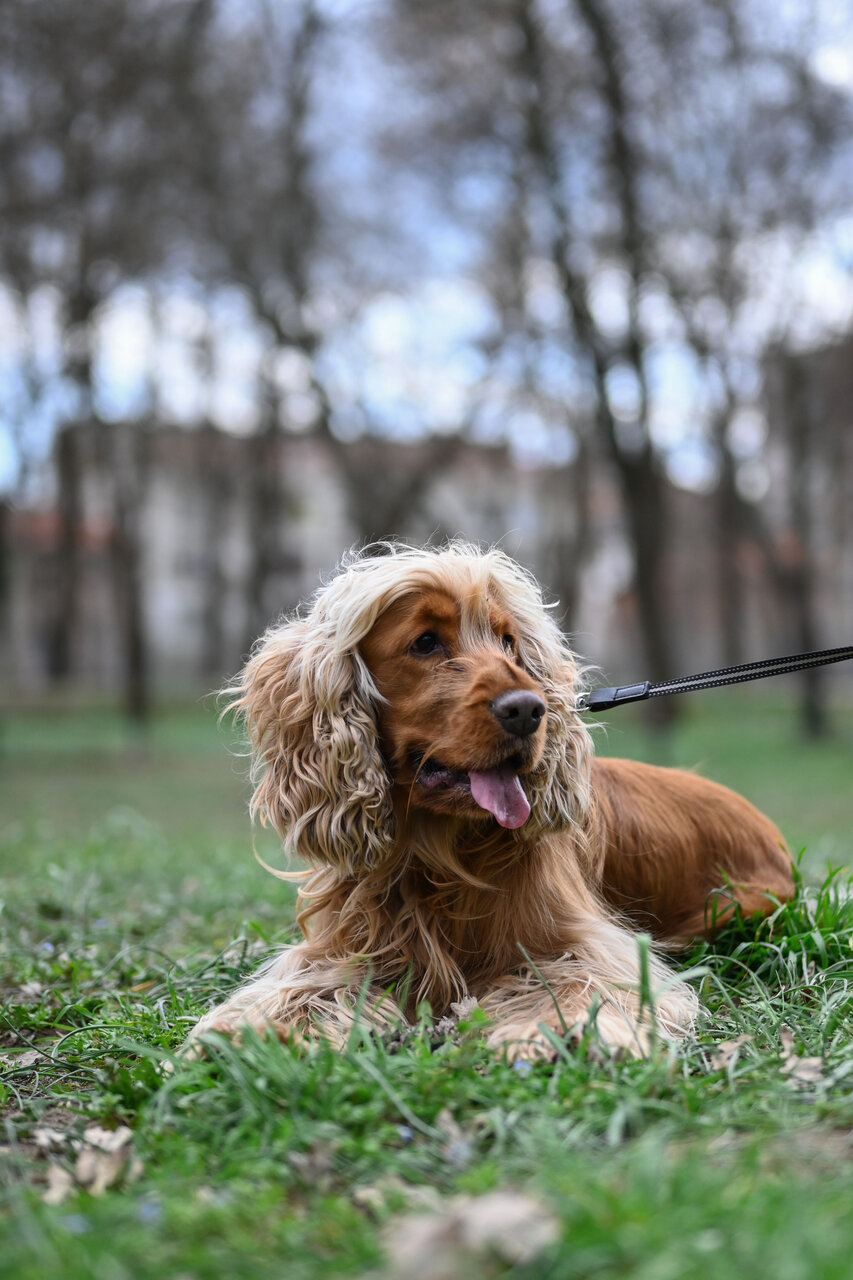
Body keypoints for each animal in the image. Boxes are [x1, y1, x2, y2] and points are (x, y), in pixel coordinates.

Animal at [189, 545, 794, 1054]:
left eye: (508, 642)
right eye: (425, 642)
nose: (529, 710)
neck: (438, 854)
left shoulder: (595, 947)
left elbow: (580, 984)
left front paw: (551, 1034)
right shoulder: (347, 946)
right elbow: (310, 987)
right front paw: (250, 1034)